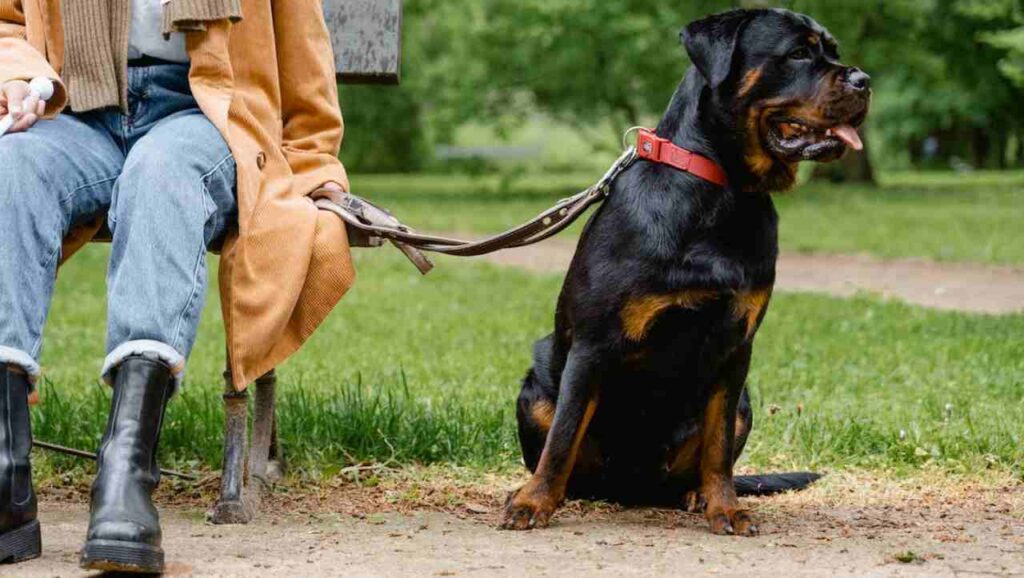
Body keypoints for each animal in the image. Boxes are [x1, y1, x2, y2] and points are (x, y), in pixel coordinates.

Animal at [503, 7, 872, 537]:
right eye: (799, 52)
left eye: (833, 52)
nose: (864, 80)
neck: (722, 190)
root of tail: (634, 491)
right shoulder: (593, 343)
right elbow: (564, 433)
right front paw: (534, 502)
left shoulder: (735, 346)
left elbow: (718, 449)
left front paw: (726, 507)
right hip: (535, 390)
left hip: (745, 405)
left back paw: (696, 495)